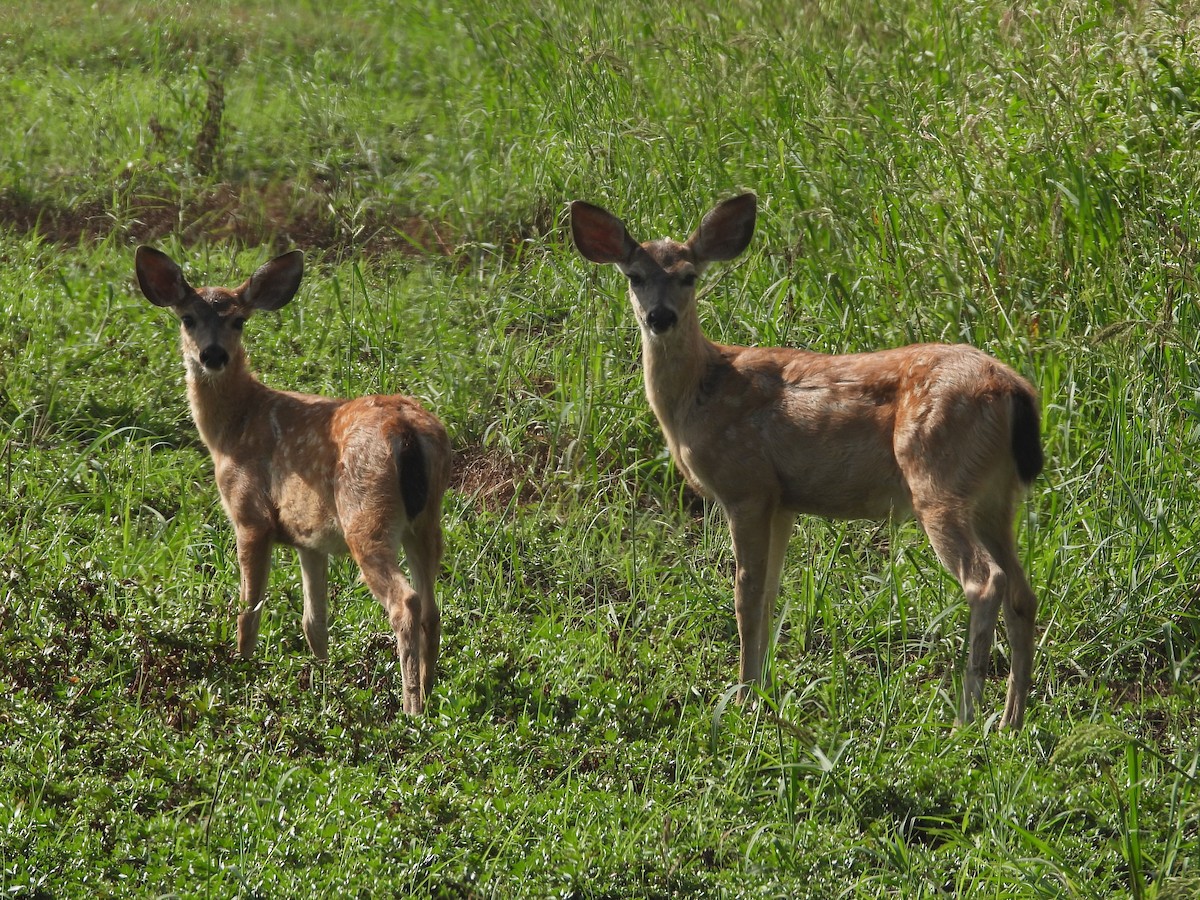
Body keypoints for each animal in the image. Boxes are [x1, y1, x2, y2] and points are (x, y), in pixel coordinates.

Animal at [135, 246, 451, 715]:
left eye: (238, 320)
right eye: (187, 318)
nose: (213, 355)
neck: (232, 428)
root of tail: (404, 429)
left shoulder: (251, 516)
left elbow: (249, 609)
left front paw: (242, 672)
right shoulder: (309, 538)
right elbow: (314, 621)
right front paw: (323, 687)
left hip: (366, 514)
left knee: (406, 601)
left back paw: (410, 708)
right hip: (427, 519)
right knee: (432, 606)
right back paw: (428, 698)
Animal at [570, 193, 1044, 730]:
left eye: (689, 276)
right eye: (635, 276)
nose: (660, 317)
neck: (701, 392)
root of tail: (1014, 390)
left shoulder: (746, 485)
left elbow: (746, 593)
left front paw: (743, 698)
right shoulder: (782, 500)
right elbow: (771, 593)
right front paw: (763, 691)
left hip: (936, 479)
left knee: (985, 581)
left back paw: (966, 716)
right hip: (994, 495)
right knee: (1023, 593)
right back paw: (1010, 721)